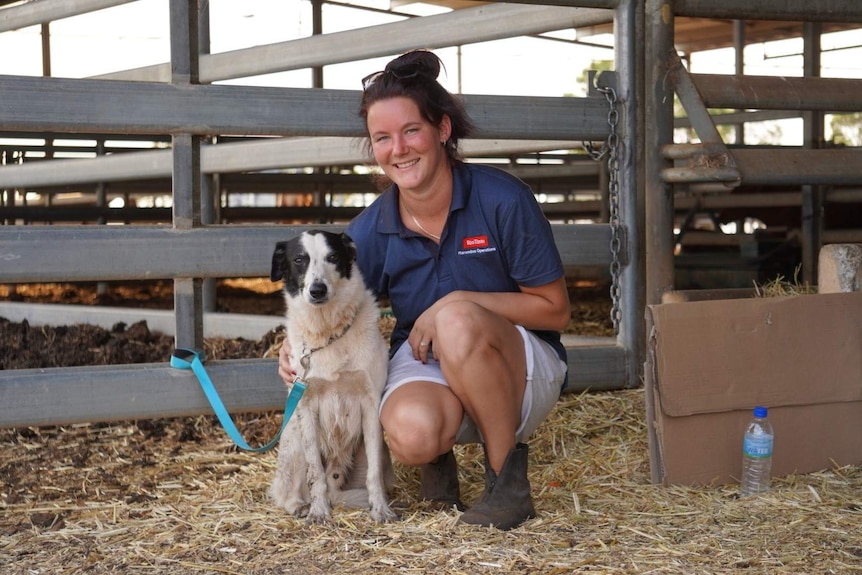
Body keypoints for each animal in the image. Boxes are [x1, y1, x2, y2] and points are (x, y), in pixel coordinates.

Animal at [268, 230, 396, 520]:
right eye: (299, 259)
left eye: (333, 257)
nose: (317, 290)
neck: (327, 332)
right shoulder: (307, 406)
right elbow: (315, 474)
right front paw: (318, 512)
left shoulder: (371, 405)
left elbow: (374, 476)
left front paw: (380, 509)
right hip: (295, 440)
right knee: (290, 492)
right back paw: (301, 506)